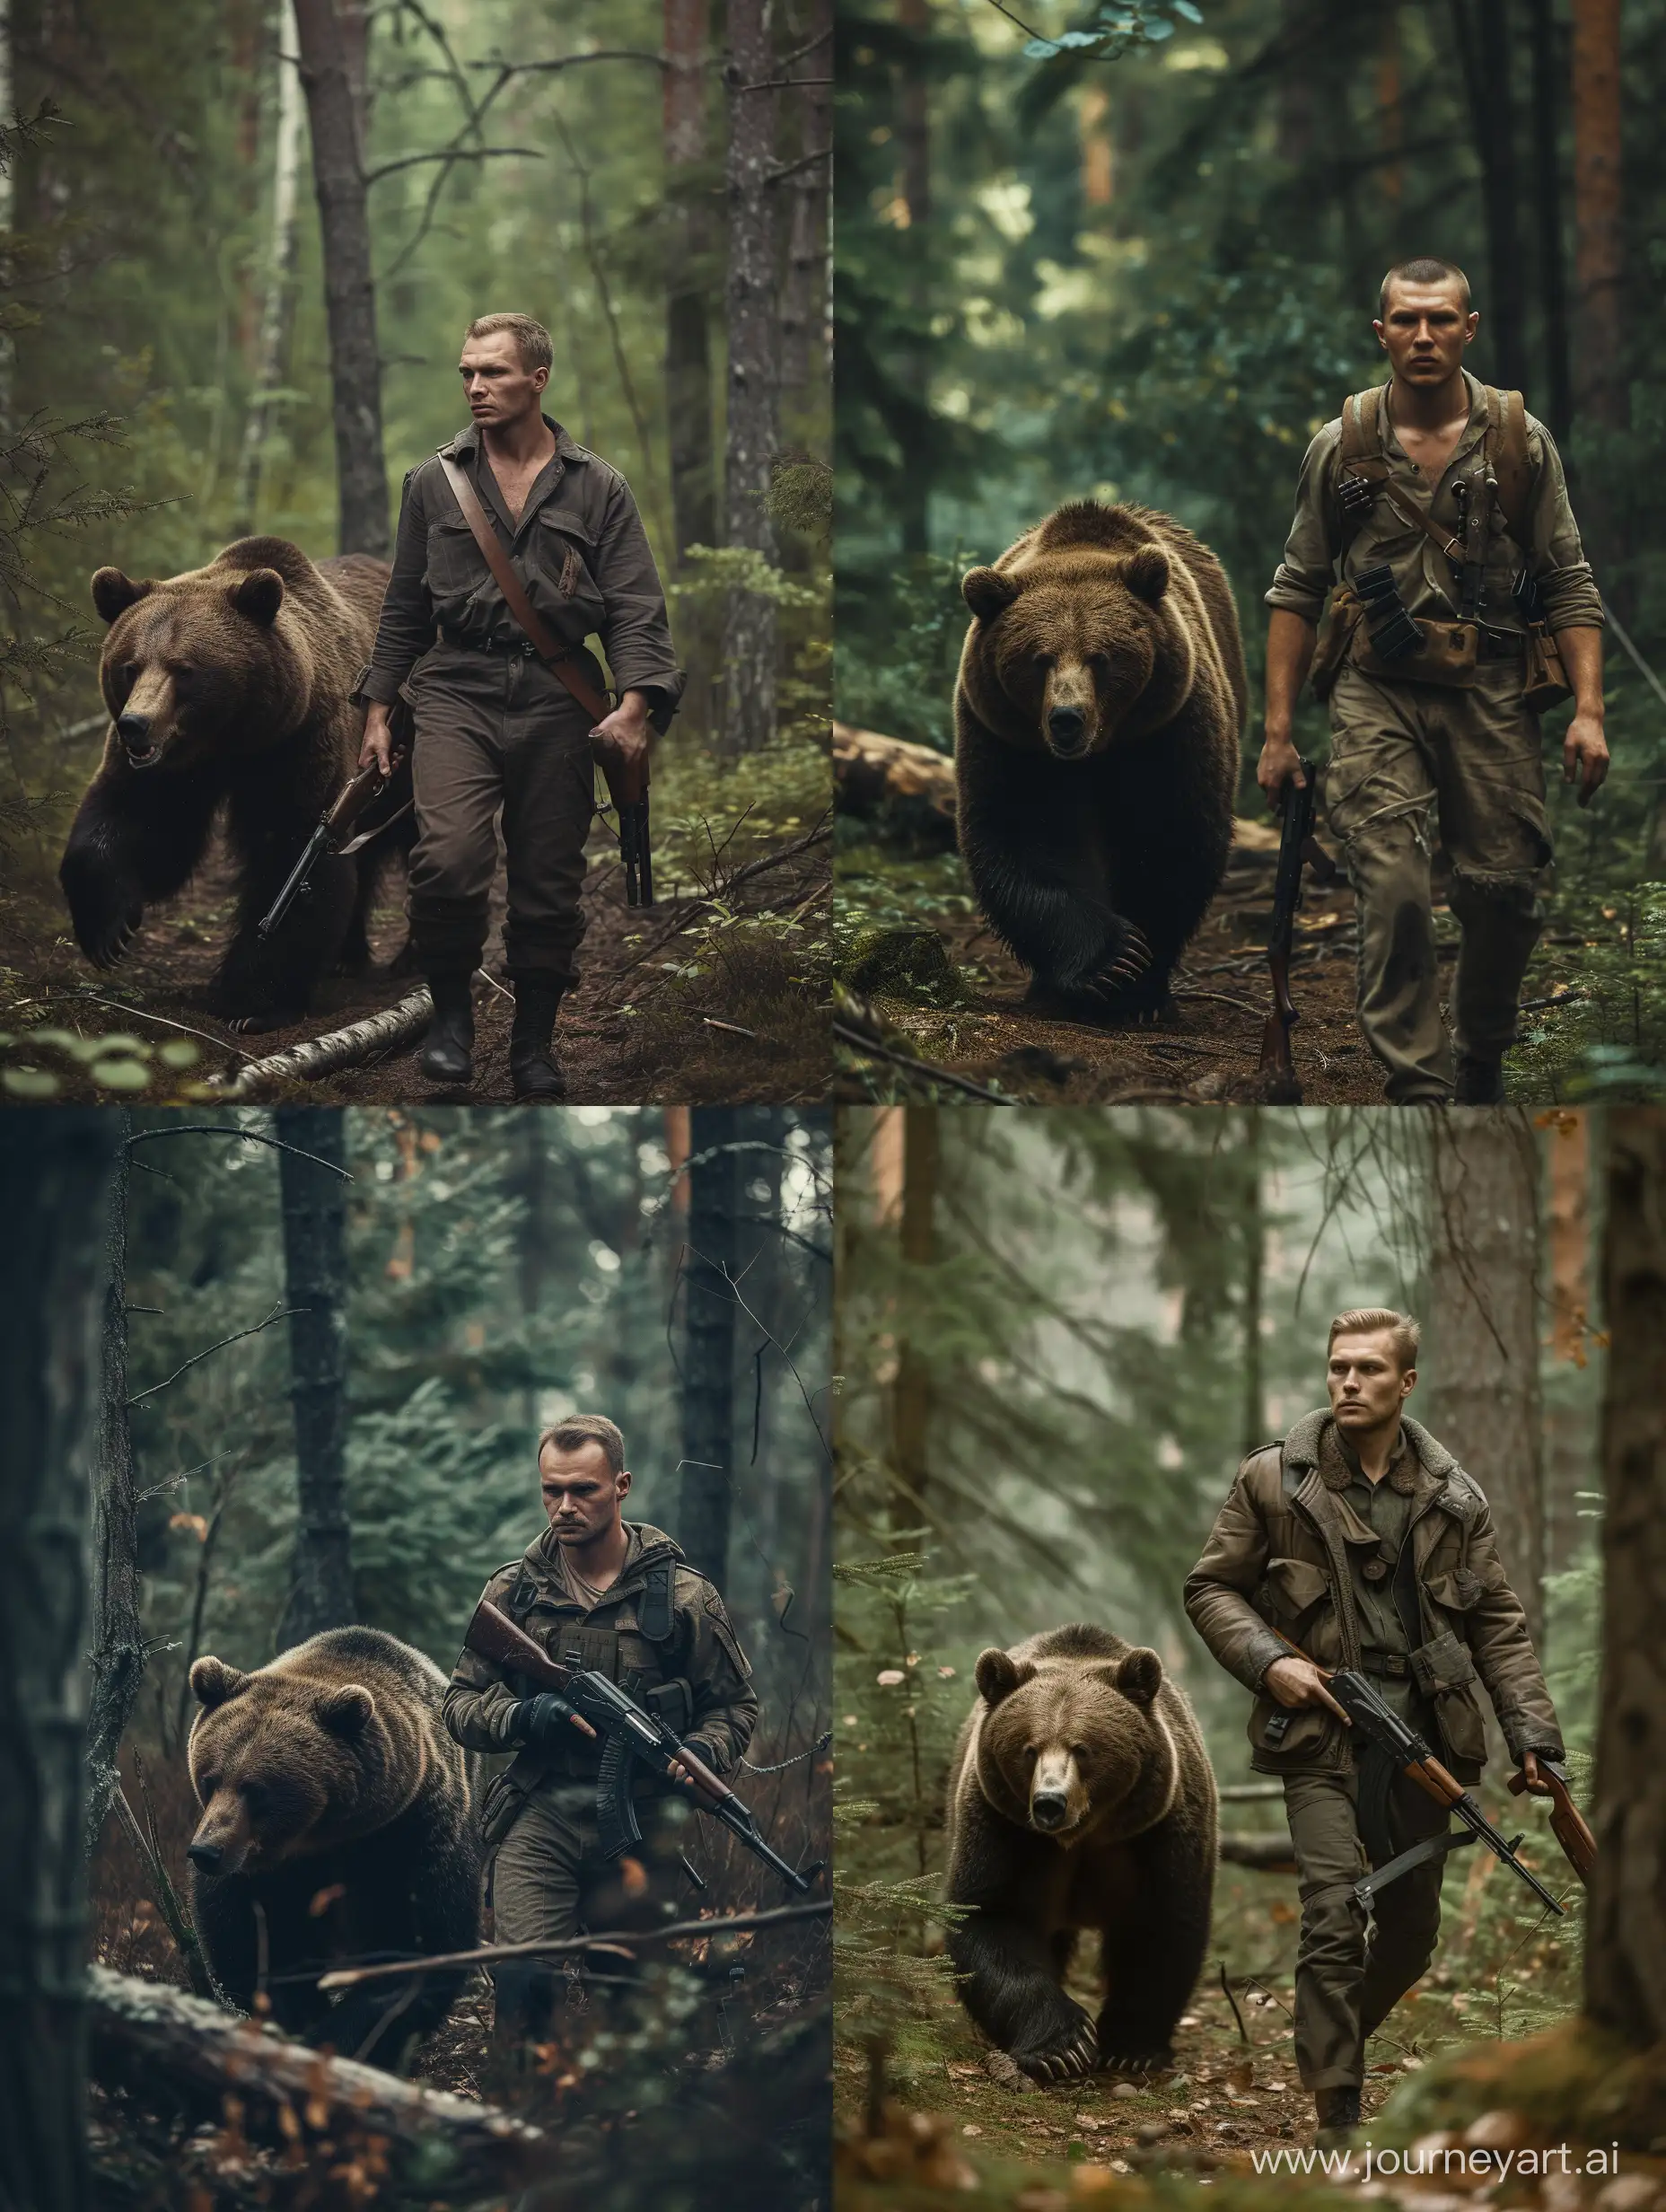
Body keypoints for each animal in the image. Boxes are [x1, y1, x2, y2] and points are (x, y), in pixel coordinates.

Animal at [60, 535, 413, 1026]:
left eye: (184, 669)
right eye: (129, 666)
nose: (136, 725)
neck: (231, 741)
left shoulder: (300, 746)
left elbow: (293, 858)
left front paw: (251, 1002)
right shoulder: (171, 771)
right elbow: (140, 829)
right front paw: (108, 931)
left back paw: (408, 957)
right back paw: (348, 957)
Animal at [192, 1628, 487, 2052]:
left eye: (257, 1791)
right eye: (209, 1779)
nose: (206, 1852)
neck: (321, 1838)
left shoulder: (408, 1836)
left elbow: (415, 1946)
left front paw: (333, 2037)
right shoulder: (261, 1872)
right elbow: (250, 1942)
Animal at [943, 1628, 1212, 2070]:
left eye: (1082, 1748)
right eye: (1029, 1748)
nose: (1050, 1802)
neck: (1083, 1835)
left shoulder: (1158, 1831)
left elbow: (1160, 1927)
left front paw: (1131, 2048)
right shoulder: (1001, 1826)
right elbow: (989, 1915)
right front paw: (1065, 2046)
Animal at [955, 502, 1239, 1017]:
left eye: (1101, 657)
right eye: (1039, 658)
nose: (1067, 719)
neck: (1098, 753)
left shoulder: (1169, 726)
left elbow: (1171, 836)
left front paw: (1142, 988)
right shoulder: (1008, 740)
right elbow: (1024, 836)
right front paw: (1110, 961)